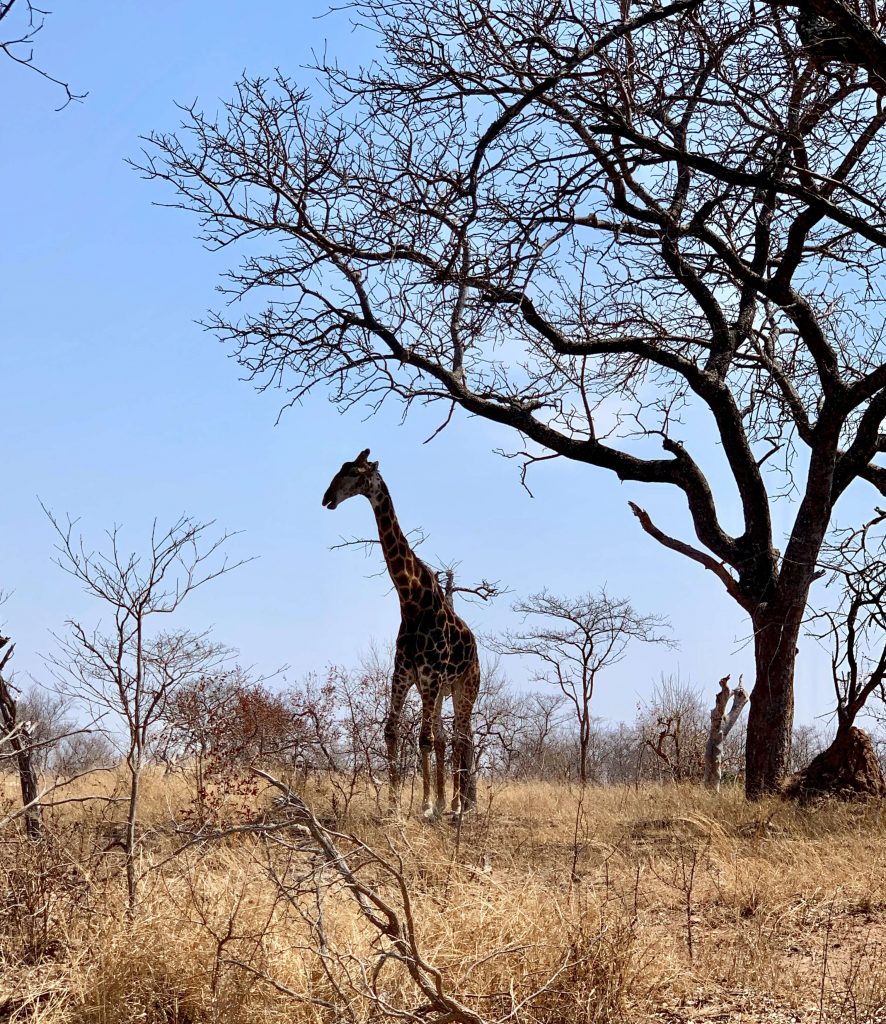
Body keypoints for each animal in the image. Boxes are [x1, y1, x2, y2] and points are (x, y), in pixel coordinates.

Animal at [322, 449, 479, 818]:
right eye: (340, 468)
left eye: (354, 472)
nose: (327, 498)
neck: (410, 600)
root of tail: (477, 648)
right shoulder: (405, 672)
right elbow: (392, 730)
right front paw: (394, 805)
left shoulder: (430, 673)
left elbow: (423, 739)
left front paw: (424, 806)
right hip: (439, 689)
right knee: (445, 736)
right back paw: (447, 802)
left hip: (464, 687)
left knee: (461, 738)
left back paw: (458, 807)